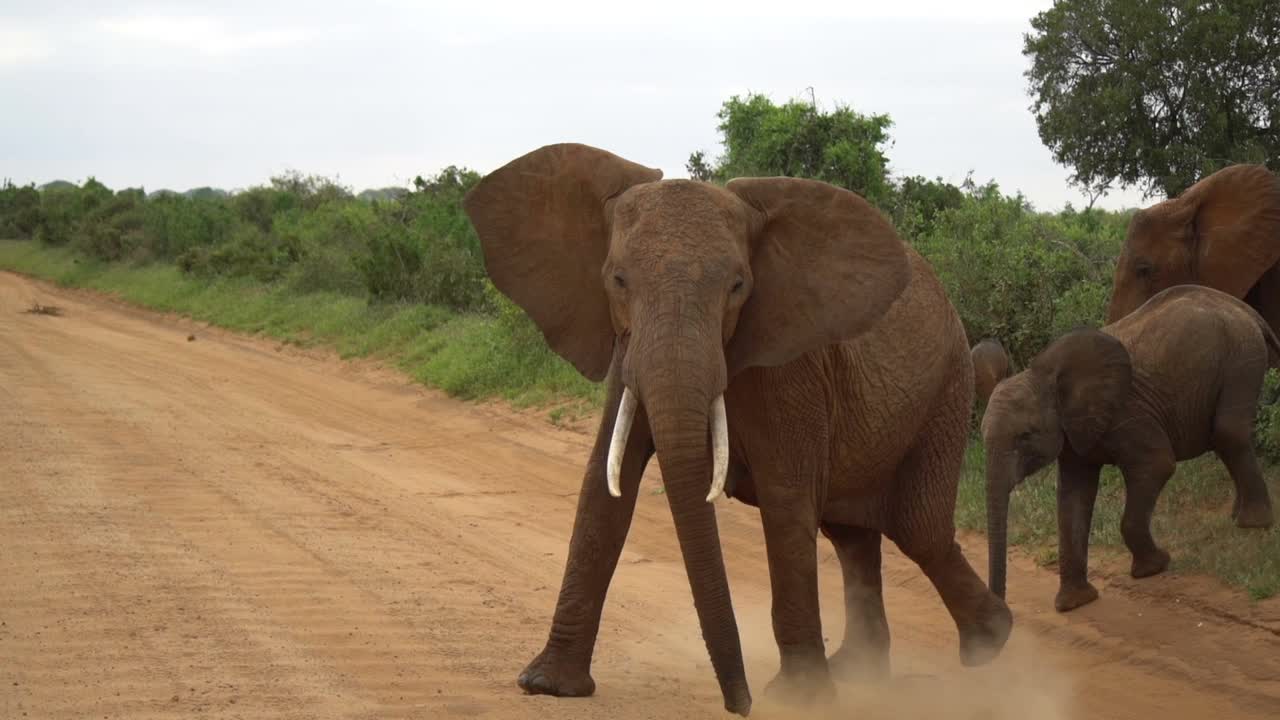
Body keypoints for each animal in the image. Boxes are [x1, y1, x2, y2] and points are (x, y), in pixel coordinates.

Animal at [460, 142, 1008, 712]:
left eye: (738, 286)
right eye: (617, 280)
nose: (739, 704)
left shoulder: (791, 367)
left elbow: (786, 497)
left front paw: (801, 698)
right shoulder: (626, 351)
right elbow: (605, 483)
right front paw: (548, 686)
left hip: (948, 388)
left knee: (917, 527)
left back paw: (990, 643)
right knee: (852, 533)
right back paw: (864, 670)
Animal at [983, 283, 1274, 607]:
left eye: (1025, 436)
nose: (1003, 610)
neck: (1045, 376)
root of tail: (1241, 308)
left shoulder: (1127, 414)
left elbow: (1157, 464)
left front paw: (1153, 568)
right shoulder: (1075, 432)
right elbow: (1073, 496)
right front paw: (1075, 603)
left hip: (1242, 357)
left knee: (1228, 432)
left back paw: (1253, 524)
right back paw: (1239, 517)